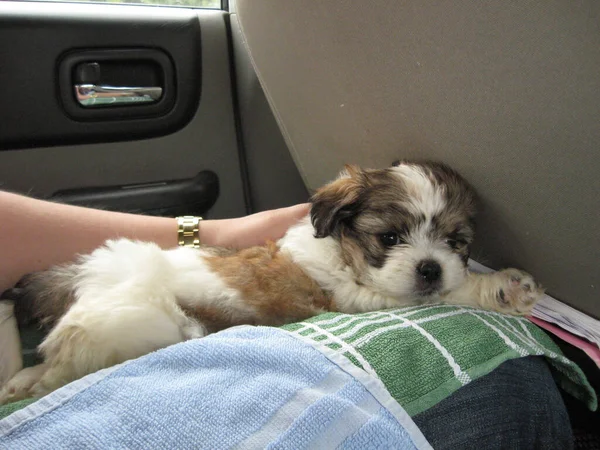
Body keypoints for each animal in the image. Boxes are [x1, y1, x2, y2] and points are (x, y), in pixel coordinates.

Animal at [0, 161, 544, 404]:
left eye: (456, 241)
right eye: (389, 237)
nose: (430, 267)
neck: (339, 252)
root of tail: (84, 276)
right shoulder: (355, 295)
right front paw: (501, 287)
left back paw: (24, 378)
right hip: (129, 323)